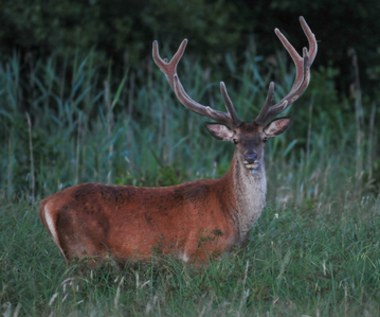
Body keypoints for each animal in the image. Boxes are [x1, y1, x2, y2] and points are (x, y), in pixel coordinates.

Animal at [39, 16, 318, 264]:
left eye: (263, 139)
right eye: (235, 140)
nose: (250, 157)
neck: (233, 214)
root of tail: (47, 204)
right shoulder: (198, 253)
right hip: (85, 252)